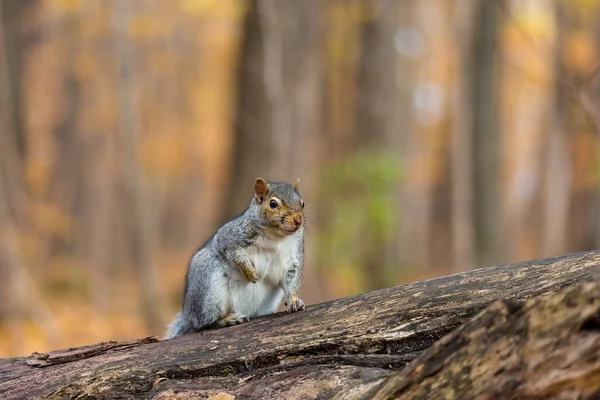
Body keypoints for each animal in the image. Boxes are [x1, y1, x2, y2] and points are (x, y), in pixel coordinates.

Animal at [163, 177, 304, 340]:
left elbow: (293, 279)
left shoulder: (294, 257)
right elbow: (232, 251)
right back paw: (227, 319)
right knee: (204, 323)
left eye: (302, 203)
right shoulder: (228, 237)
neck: (276, 236)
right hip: (207, 285)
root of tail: (189, 314)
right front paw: (249, 271)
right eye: (273, 204)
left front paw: (294, 301)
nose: (298, 220)